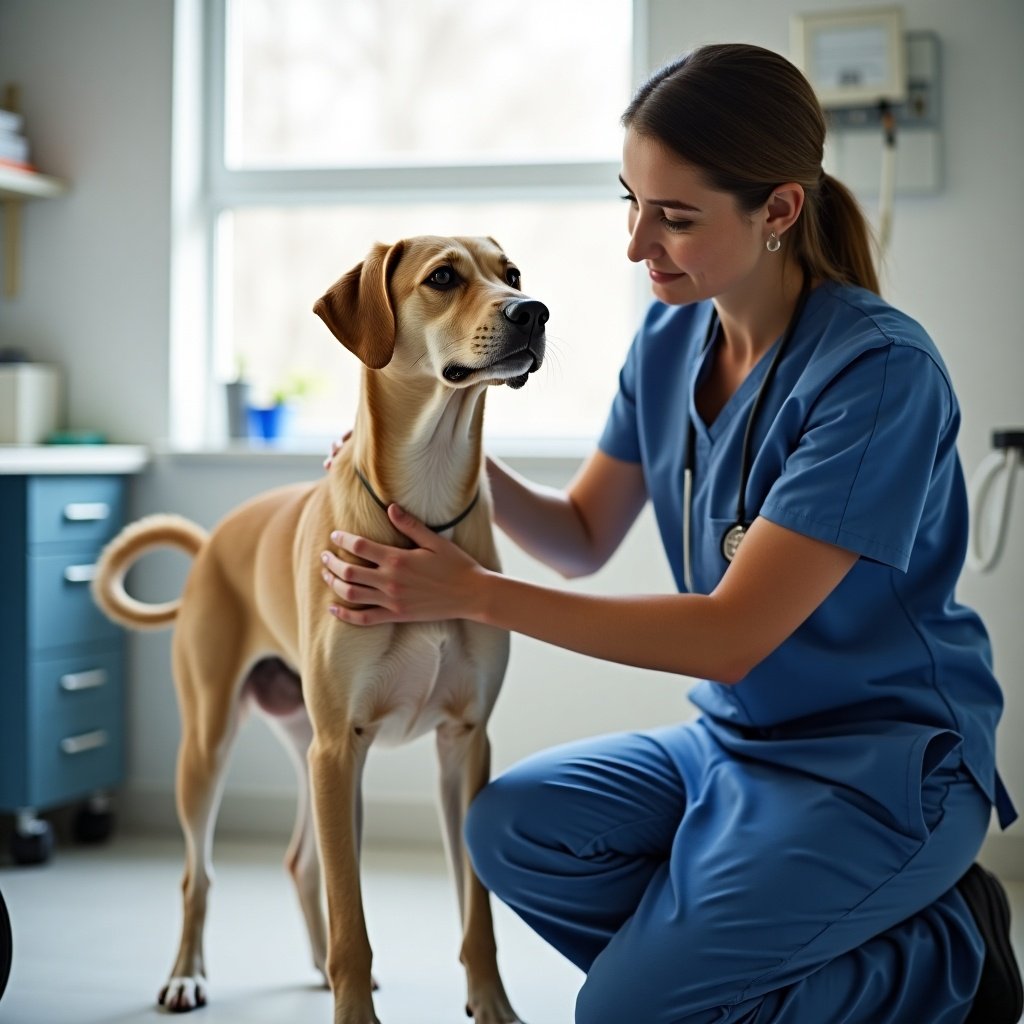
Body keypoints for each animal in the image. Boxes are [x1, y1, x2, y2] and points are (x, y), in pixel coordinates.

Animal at [92, 235, 548, 1019]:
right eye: (444, 277)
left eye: (511, 273)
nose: (534, 310)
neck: (424, 509)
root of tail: (211, 544)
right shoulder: (340, 748)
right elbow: (352, 921)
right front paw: (354, 1007)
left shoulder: (464, 744)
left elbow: (475, 911)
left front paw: (491, 1003)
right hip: (218, 744)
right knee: (200, 874)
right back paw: (187, 973)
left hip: (309, 744)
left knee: (303, 860)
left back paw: (311, 963)